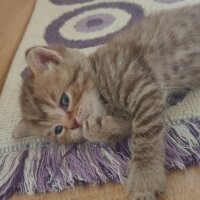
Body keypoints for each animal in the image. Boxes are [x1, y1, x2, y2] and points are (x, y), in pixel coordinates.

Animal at [13, 4, 200, 200]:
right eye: (58, 130)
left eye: (64, 100)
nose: (74, 124)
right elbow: (128, 124)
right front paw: (101, 129)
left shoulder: (142, 87)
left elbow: (144, 132)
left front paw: (145, 175)